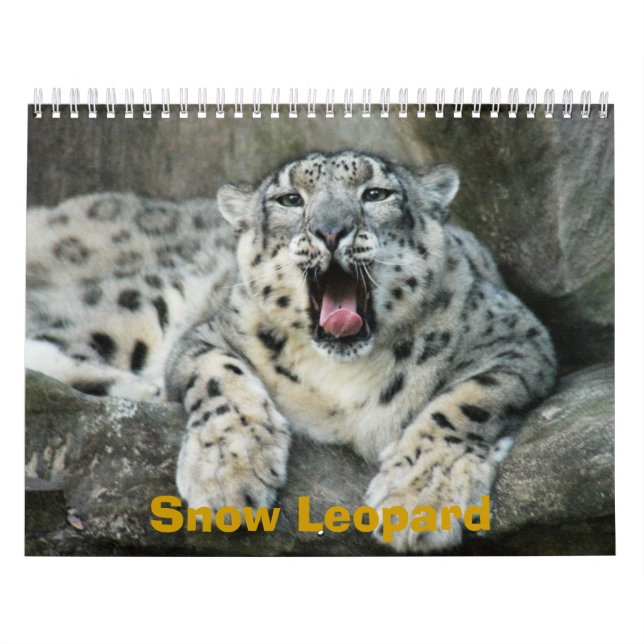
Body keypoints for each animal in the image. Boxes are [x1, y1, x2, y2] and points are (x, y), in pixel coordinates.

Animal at [26, 150, 557, 553]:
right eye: (290, 199)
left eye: (375, 194)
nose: (331, 230)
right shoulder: (207, 334)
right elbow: (219, 376)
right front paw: (228, 474)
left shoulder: (518, 338)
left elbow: (467, 401)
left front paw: (416, 498)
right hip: (127, 306)